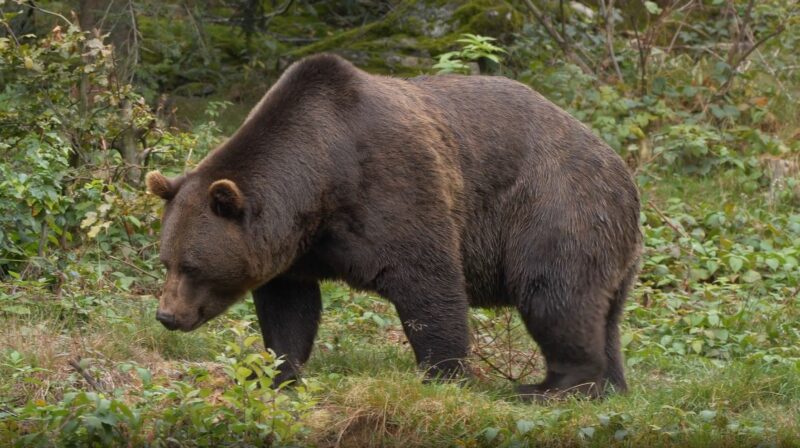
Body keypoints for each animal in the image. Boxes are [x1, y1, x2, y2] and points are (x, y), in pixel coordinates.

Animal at [147, 52, 640, 400]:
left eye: (191, 266)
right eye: (165, 260)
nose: (167, 315)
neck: (318, 180)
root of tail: (623, 172)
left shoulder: (393, 187)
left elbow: (429, 284)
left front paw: (444, 375)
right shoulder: (296, 251)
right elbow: (288, 311)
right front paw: (276, 374)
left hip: (556, 210)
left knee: (555, 296)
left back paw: (548, 388)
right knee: (605, 317)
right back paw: (610, 385)